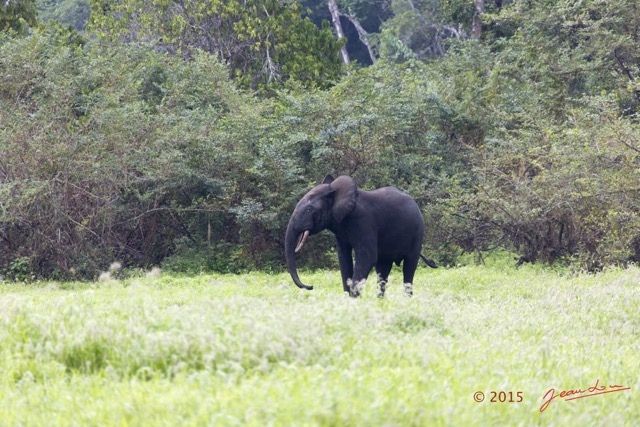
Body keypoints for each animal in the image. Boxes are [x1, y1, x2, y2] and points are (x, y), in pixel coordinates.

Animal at [286, 174, 440, 298]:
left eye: (309, 209)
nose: (310, 286)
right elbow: (344, 258)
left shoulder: (364, 222)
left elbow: (367, 257)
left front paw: (354, 299)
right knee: (382, 269)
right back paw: (380, 299)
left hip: (418, 232)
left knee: (409, 266)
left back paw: (406, 299)